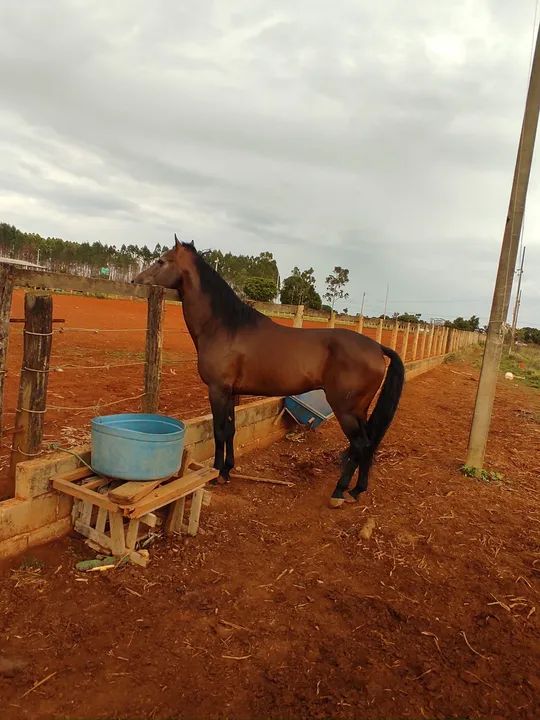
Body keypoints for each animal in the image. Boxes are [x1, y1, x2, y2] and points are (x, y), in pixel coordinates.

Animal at [133, 236, 404, 507]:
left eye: (162, 260)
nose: (136, 281)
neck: (225, 327)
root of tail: (376, 347)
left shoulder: (217, 390)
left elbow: (219, 431)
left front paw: (216, 473)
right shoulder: (230, 392)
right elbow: (230, 430)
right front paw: (227, 471)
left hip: (346, 410)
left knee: (360, 444)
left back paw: (339, 492)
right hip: (359, 410)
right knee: (369, 443)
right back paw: (357, 490)